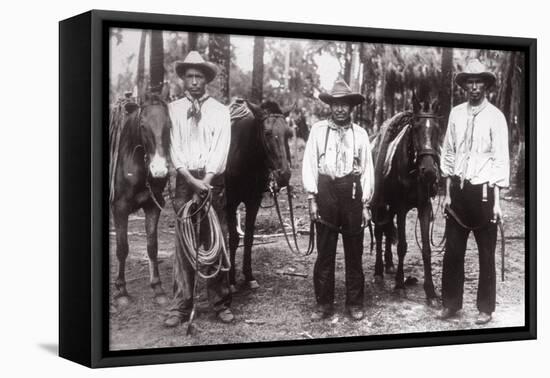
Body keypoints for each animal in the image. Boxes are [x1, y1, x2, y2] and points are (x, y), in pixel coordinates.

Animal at [108, 92, 170, 308]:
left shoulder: (153, 206)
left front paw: (158, 288)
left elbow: (152, 246)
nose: (159, 170)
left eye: (169, 124)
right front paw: (121, 291)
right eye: (142, 125)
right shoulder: (119, 209)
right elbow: (122, 248)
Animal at [225, 99, 296, 290]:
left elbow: (249, 237)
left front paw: (249, 276)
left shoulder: (253, 201)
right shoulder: (230, 202)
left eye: (288, 134)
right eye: (267, 133)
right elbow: (234, 239)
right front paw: (231, 280)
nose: (284, 174)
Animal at [370, 96, 444, 304]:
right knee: (379, 232)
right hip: (381, 205)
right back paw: (379, 271)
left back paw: (388, 264)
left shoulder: (424, 206)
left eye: (438, 130)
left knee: (387, 231)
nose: (429, 171)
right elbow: (402, 246)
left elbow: (426, 249)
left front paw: (431, 292)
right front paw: (400, 285)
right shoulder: (402, 207)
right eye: (416, 129)